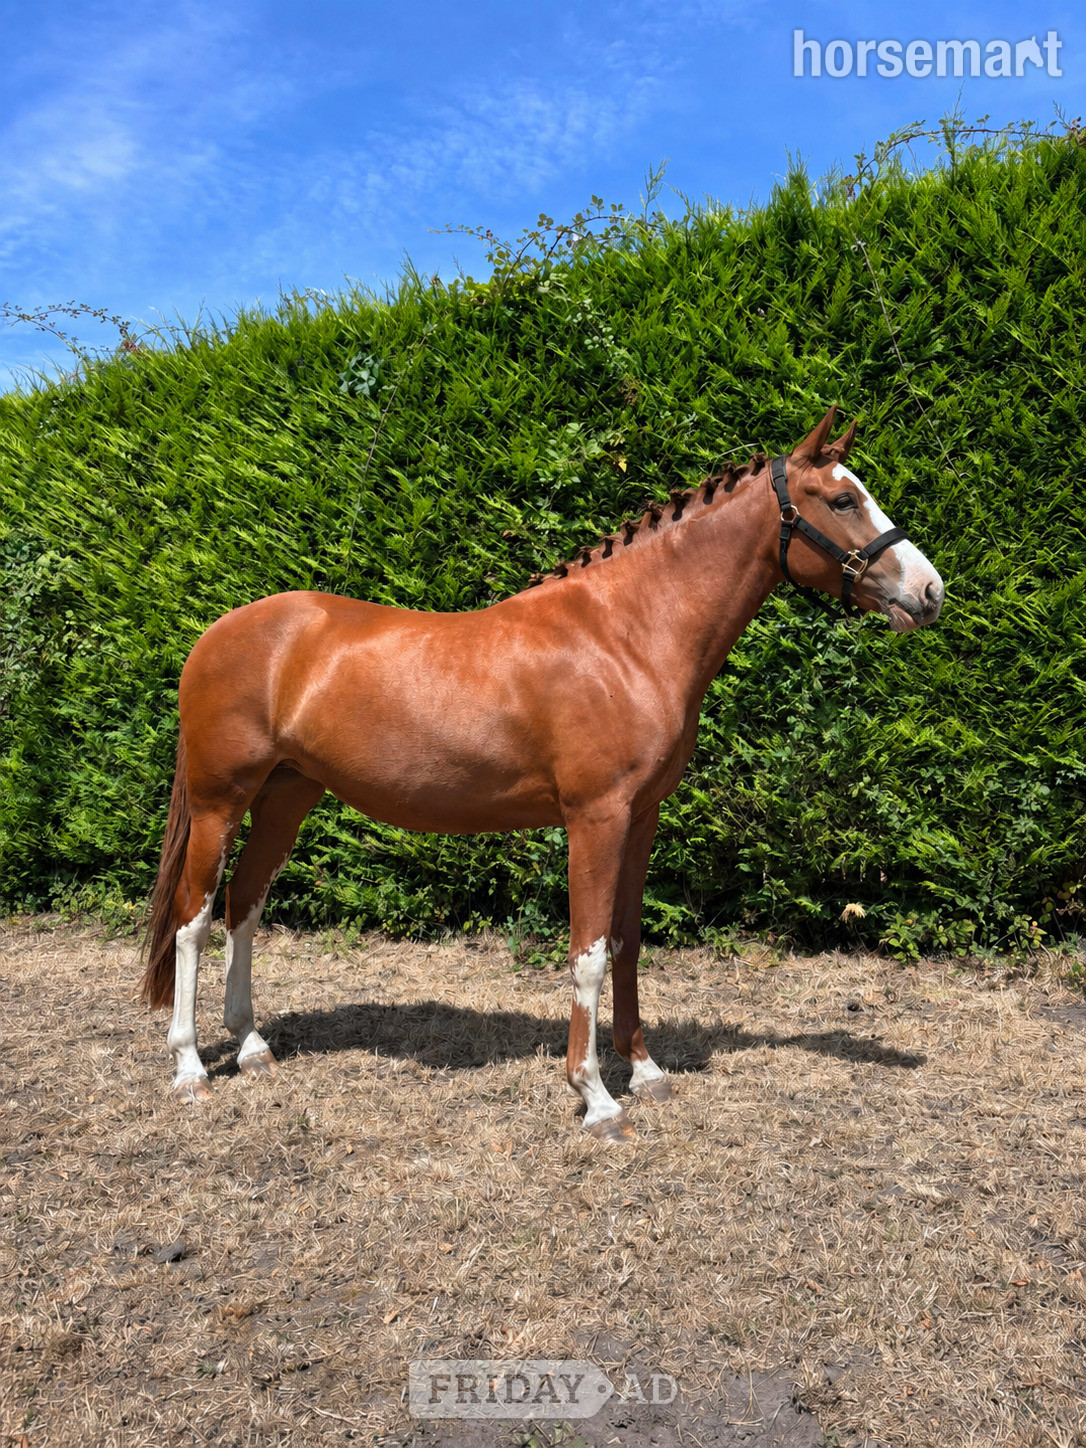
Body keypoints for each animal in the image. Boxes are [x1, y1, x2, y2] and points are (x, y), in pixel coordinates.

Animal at [141, 406, 944, 1140]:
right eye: (841, 500)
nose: (931, 592)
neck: (625, 635)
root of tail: (218, 633)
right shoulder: (595, 817)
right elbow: (587, 954)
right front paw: (595, 1097)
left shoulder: (641, 816)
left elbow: (626, 941)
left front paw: (645, 1071)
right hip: (219, 803)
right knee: (193, 919)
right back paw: (189, 1067)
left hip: (288, 795)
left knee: (244, 907)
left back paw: (252, 1047)